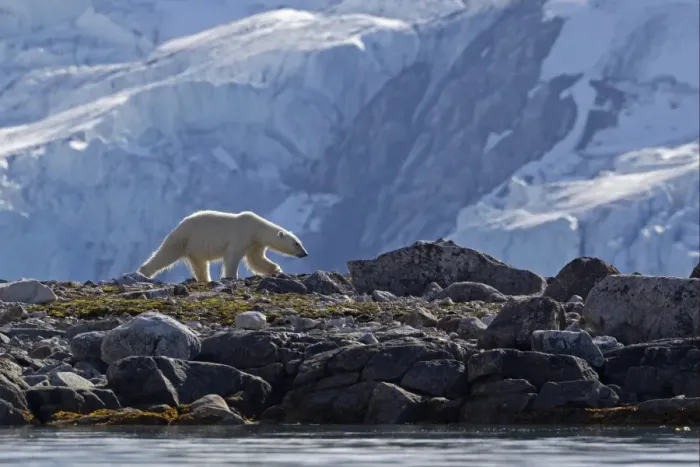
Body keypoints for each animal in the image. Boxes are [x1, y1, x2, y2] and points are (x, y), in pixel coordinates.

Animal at [137, 210, 308, 282]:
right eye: (296, 243)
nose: (305, 253)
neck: (257, 228)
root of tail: (179, 225)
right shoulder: (242, 235)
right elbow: (233, 256)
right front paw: (231, 276)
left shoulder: (255, 243)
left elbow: (256, 260)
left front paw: (275, 269)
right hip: (184, 238)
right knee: (165, 254)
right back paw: (144, 272)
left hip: (195, 248)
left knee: (200, 265)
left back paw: (205, 279)